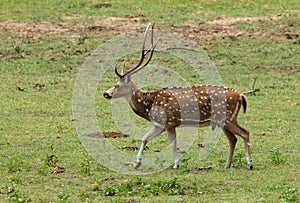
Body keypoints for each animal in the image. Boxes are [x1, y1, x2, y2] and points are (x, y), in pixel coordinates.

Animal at [103, 23, 253, 170]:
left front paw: (176, 164)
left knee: (245, 132)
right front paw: (137, 163)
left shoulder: (169, 122)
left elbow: (173, 143)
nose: (106, 93)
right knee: (233, 139)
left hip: (228, 118)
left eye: (117, 85)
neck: (149, 105)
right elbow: (144, 138)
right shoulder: (159, 125)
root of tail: (241, 95)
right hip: (223, 120)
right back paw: (227, 165)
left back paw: (249, 163)